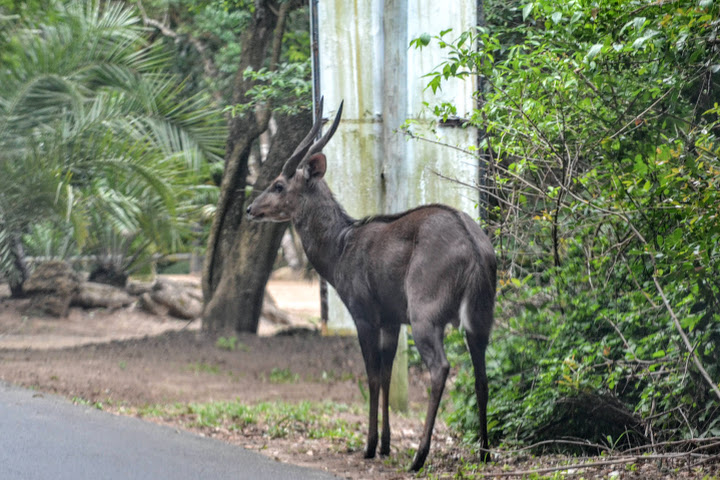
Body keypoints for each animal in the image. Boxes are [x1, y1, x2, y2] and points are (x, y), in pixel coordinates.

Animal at [246, 99, 496, 470]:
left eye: (278, 184)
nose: (251, 208)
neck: (340, 247)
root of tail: (476, 249)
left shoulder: (364, 313)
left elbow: (373, 375)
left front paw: (369, 445)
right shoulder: (392, 319)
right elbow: (389, 373)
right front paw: (387, 445)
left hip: (425, 314)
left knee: (441, 368)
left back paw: (419, 457)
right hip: (479, 318)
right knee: (482, 374)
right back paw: (484, 452)